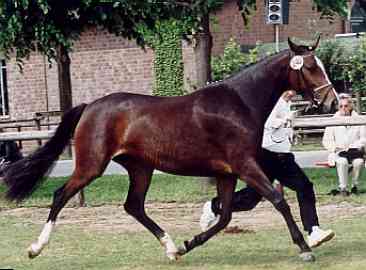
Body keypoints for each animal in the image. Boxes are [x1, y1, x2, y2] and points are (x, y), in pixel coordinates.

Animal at [1, 36, 336, 262]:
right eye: (309, 67)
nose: (331, 101)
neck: (239, 103)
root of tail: (90, 106)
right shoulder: (245, 165)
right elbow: (277, 200)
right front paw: (305, 249)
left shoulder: (226, 173)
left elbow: (225, 214)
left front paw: (190, 243)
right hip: (92, 165)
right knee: (61, 195)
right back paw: (35, 248)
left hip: (140, 168)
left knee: (133, 206)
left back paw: (172, 248)